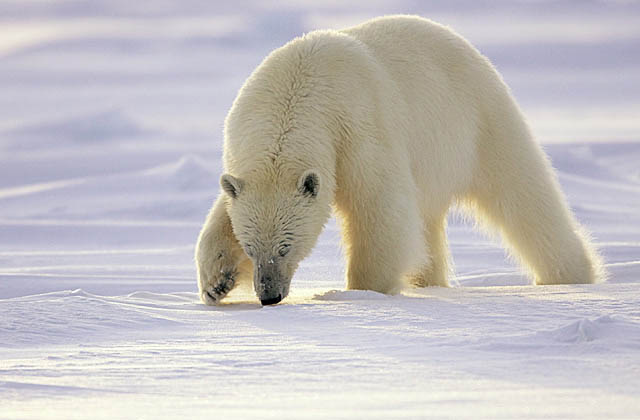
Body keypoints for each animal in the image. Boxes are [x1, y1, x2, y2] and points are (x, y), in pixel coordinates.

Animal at [195, 15, 604, 306]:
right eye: (250, 247)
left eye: (285, 246)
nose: (269, 296)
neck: (297, 90)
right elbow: (223, 211)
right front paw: (216, 282)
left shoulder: (359, 128)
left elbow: (380, 207)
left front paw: (364, 291)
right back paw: (430, 280)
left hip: (480, 119)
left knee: (524, 196)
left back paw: (569, 275)